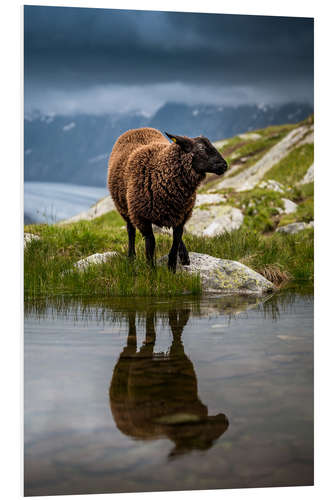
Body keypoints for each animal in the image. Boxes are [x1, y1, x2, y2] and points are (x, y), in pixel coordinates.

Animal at [107, 127, 227, 272]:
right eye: (202, 149)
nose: (224, 165)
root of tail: (136, 129)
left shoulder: (182, 214)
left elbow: (176, 239)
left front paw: (171, 267)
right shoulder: (141, 217)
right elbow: (151, 243)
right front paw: (151, 269)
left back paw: (184, 256)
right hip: (124, 207)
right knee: (130, 230)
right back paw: (131, 257)